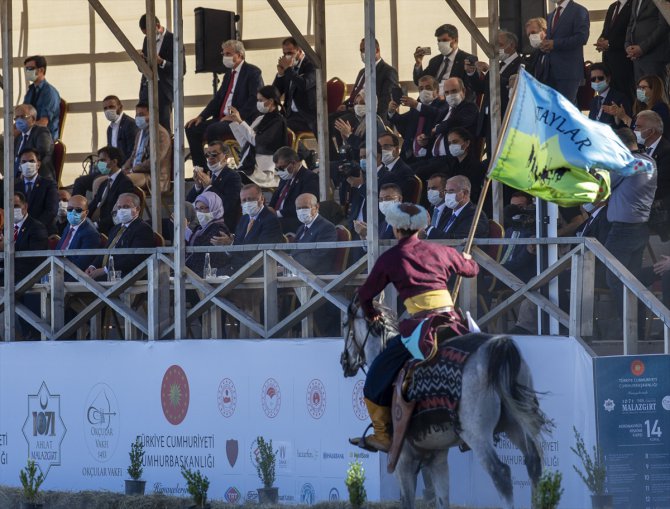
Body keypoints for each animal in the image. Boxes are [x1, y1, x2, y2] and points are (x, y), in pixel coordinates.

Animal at [344, 298, 552, 508]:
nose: (344, 361)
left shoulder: (403, 459)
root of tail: (498, 348)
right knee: (534, 463)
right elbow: (443, 499)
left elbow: (408, 501)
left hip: (477, 435)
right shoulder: (437, 456)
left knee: (501, 473)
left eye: (345, 324)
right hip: (516, 424)